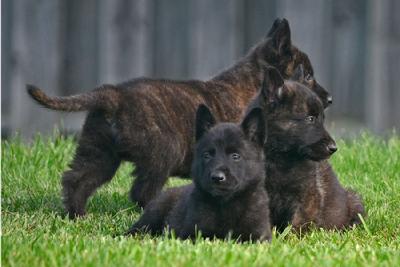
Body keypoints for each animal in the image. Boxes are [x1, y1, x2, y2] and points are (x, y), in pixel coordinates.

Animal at [127, 105, 272, 243]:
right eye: (207, 155)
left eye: (235, 156)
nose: (217, 178)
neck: (225, 204)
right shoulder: (191, 235)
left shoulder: (260, 237)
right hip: (152, 216)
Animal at [250, 66, 366, 231]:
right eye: (310, 119)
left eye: (322, 119)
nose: (333, 148)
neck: (279, 157)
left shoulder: (306, 198)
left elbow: (298, 224)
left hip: (354, 201)